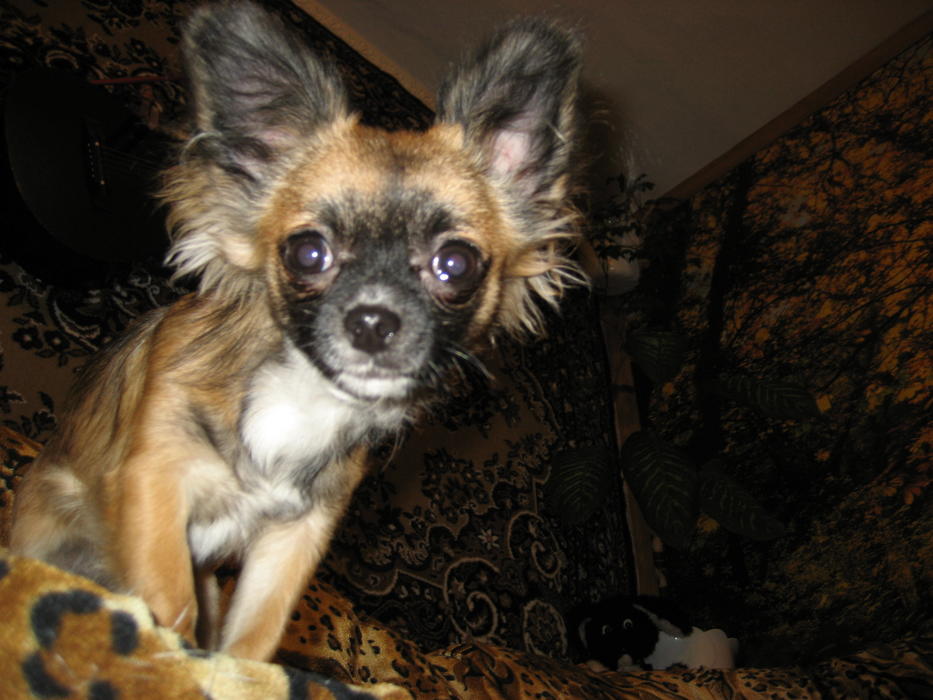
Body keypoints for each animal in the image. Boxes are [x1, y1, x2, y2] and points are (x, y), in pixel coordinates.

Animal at [11, 1, 585, 661]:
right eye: (309, 253)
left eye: (455, 264)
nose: (372, 319)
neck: (301, 393)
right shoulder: (154, 481)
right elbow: (170, 610)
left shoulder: (294, 538)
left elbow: (251, 642)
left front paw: (226, 673)